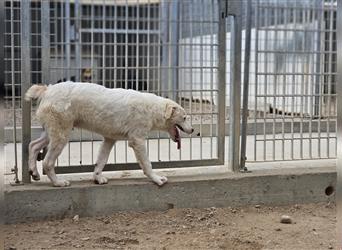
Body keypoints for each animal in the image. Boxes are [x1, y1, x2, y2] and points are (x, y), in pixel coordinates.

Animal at [25, 82, 194, 188]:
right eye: (185, 118)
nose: (193, 131)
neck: (153, 109)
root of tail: (47, 90)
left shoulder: (109, 139)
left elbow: (101, 161)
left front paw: (97, 178)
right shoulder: (137, 141)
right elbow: (147, 164)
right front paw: (157, 179)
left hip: (53, 132)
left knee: (33, 146)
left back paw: (34, 172)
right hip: (61, 134)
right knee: (47, 162)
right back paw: (58, 182)